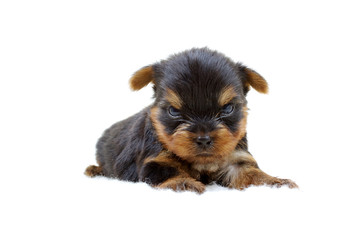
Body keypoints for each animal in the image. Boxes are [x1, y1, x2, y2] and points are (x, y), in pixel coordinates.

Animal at [85, 47, 298, 193]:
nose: (203, 139)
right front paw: (183, 183)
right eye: (173, 111)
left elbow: (251, 174)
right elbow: (167, 171)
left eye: (227, 109)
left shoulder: (235, 158)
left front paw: (275, 182)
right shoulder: (156, 160)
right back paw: (94, 170)